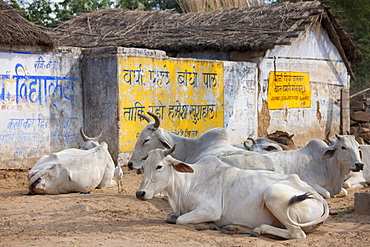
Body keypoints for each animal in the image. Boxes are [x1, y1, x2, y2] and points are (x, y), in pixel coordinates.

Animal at [136, 147, 330, 239]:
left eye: (159, 166)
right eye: (144, 167)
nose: (140, 193)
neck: (187, 183)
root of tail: (317, 197)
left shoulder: (210, 209)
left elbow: (181, 220)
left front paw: (208, 225)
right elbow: (171, 217)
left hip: (272, 194)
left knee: (296, 233)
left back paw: (259, 229)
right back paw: (234, 228)